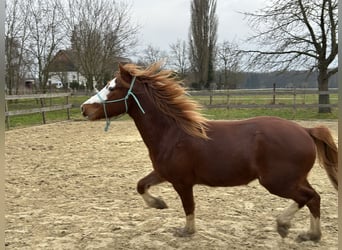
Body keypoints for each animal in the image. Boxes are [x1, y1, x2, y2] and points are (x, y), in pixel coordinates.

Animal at [81, 62, 338, 242]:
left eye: (112, 87)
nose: (84, 109)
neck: (173, 133)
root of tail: (305, 130)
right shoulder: (163, 173)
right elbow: (141, 185)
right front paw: (159, 204)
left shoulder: (182, 182)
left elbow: (189, 206)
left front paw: (186, 231)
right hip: (294, 179)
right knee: (315, 198)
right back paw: (311, 235)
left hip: (278, 182)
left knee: (308, 198)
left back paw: (284, 225)